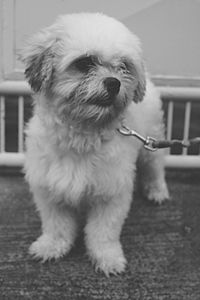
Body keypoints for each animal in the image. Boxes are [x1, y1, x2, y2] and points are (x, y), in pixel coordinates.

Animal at [21, 12, 169, 276]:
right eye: (84, 63)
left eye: (123, 66)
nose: (114, 82)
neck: (82, 134)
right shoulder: (49, 189)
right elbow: (56, 224)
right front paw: (52, 246)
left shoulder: (111, 193)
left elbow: (103, 232)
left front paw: (107, 257)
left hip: (151, 142)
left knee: (155, 167)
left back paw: (157, 190)